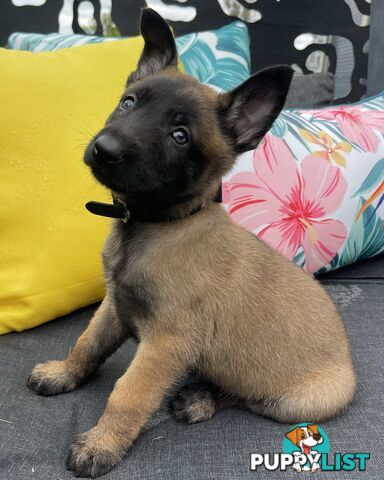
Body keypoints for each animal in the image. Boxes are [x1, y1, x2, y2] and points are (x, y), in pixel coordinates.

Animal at [27, 8, 354, 480]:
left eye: (180, 136)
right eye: (129, 103)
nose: (105, 149)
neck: (160, 225)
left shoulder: (166, 342)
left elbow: (128, 393)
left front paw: (102, 444)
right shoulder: (115, 304)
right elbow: (87, 343)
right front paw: (62, 374)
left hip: (299, 403)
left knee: (247, 394)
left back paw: (200, 400)